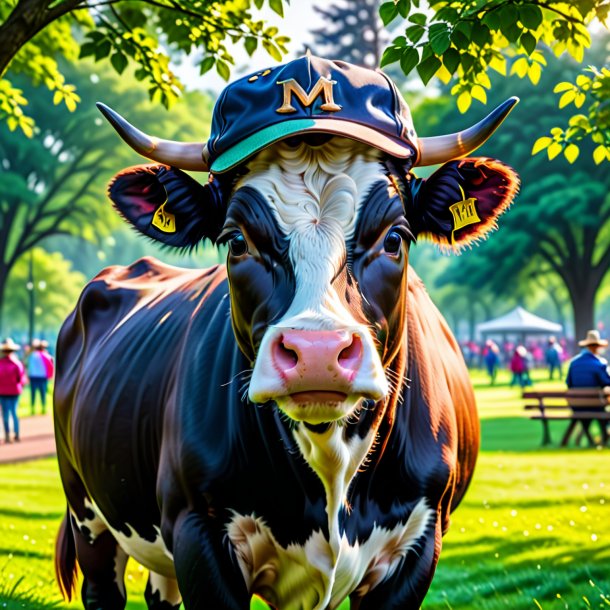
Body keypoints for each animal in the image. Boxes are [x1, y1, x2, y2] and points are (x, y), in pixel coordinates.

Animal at [53, 53, 516, 608]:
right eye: (237, 242)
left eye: (395, 238)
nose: (317, 351)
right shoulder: (197, 532)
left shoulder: (420, 542)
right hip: (87, 512)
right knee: (103, 586)